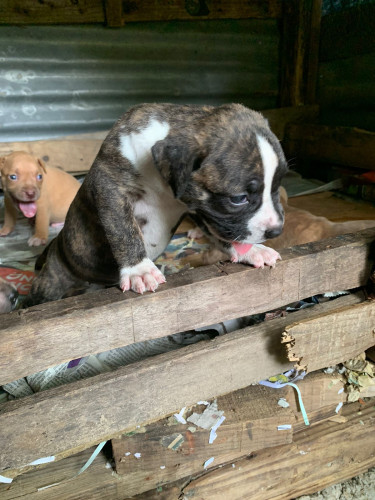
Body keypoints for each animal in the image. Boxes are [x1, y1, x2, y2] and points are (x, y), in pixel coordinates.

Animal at [26, 102, 290, 304]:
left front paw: (251, 250)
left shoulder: (198, 209)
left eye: (276, 187)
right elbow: (123, 230)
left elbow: (220, 233)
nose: (276, 230)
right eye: (238, 198)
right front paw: (139, 270)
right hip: (51, 283)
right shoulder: (110, 188)